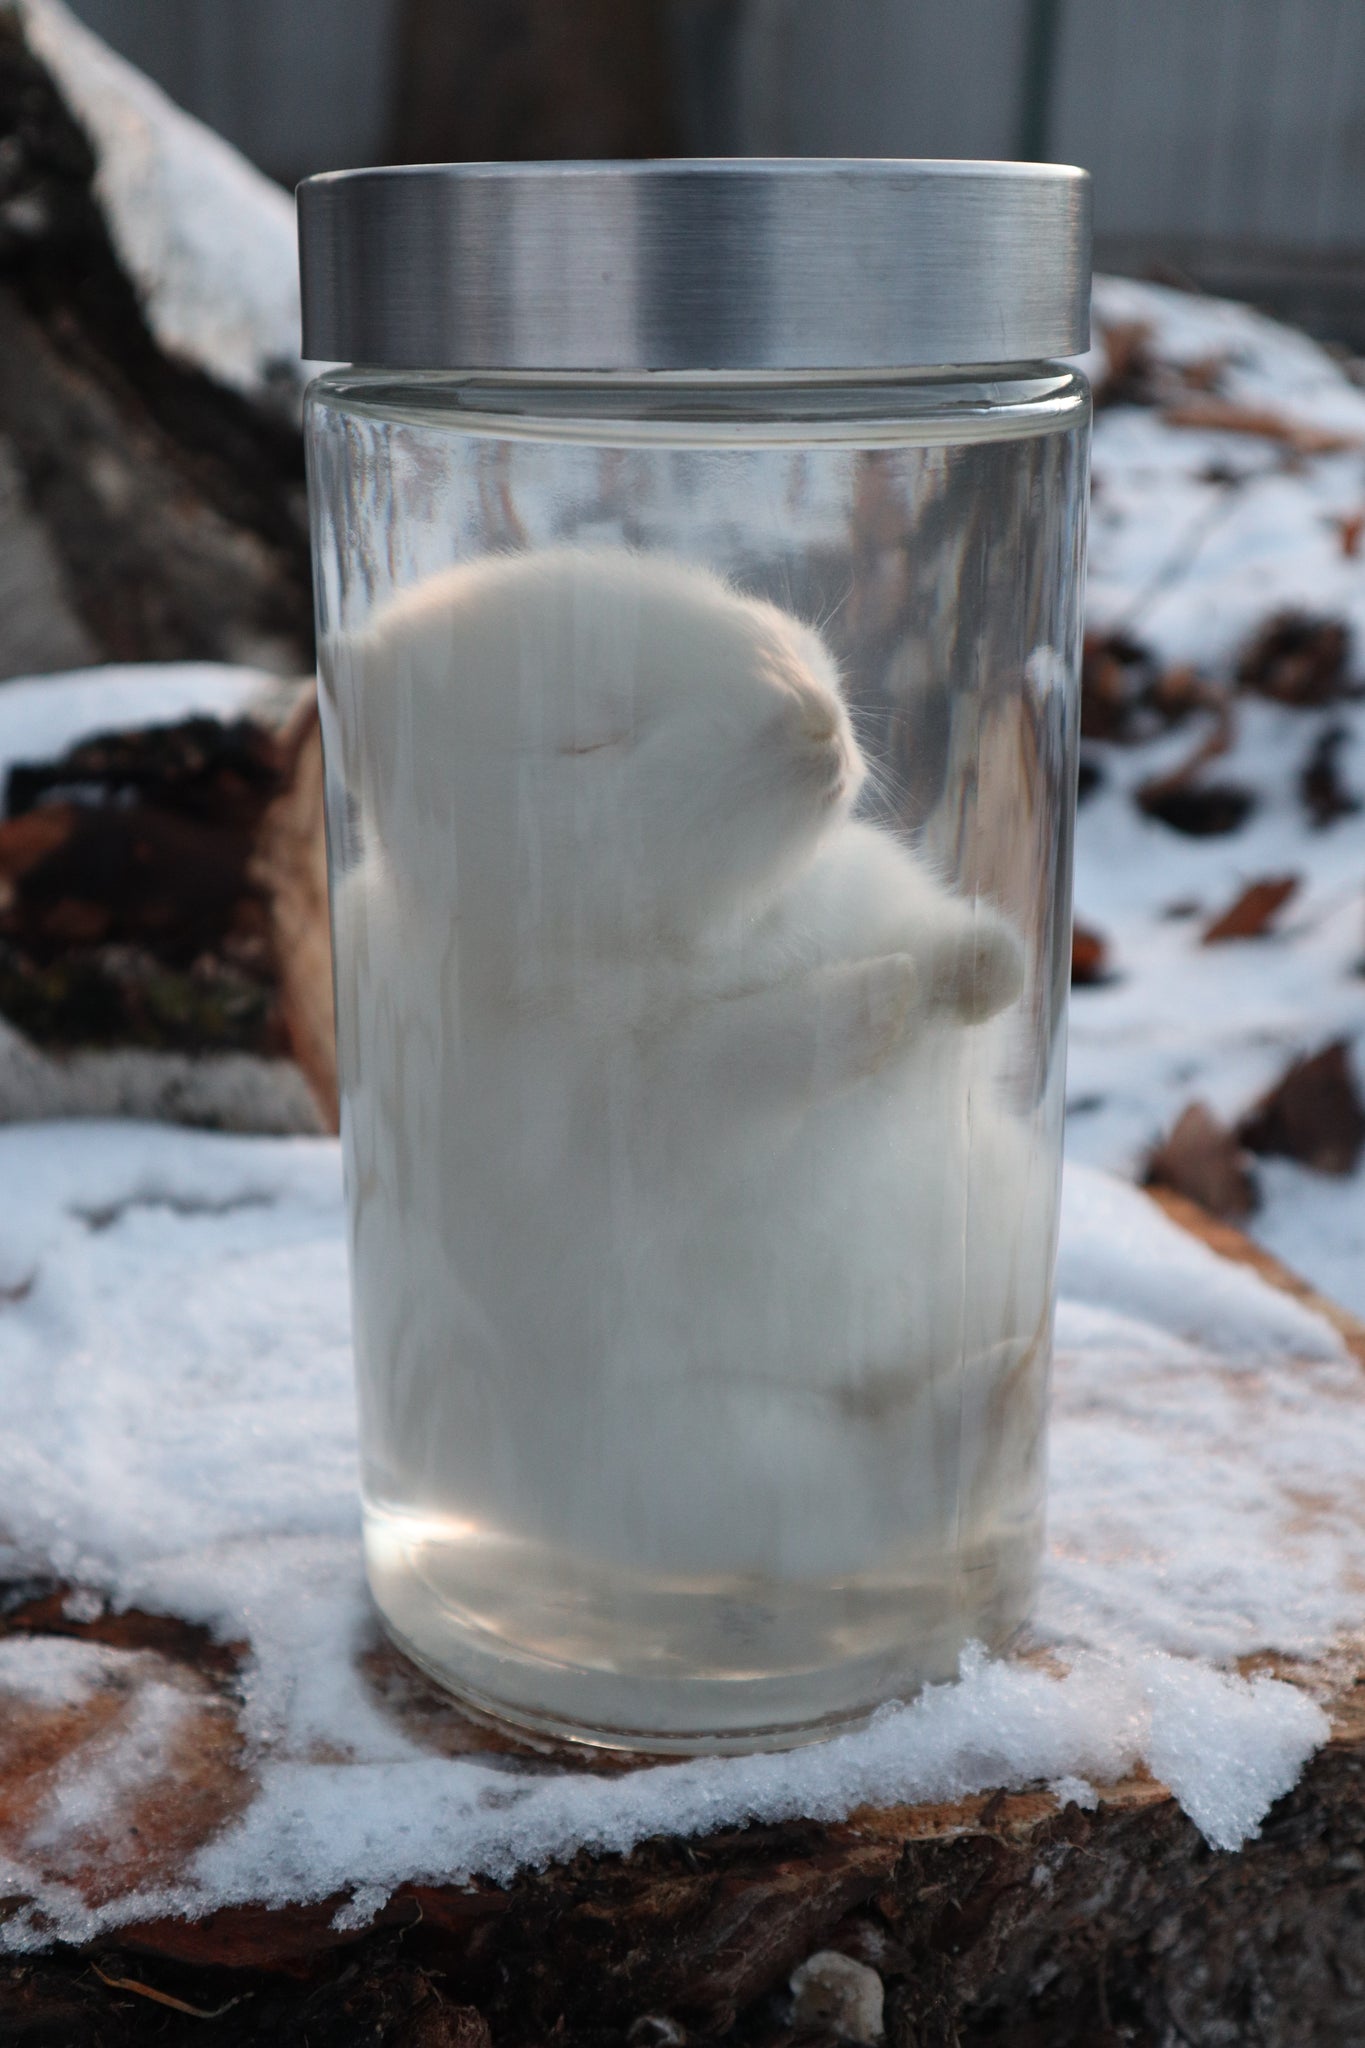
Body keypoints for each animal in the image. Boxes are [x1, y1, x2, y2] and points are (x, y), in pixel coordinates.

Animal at [324, 547, 1047, 1582]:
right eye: (590, 742)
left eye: (736, 604)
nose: (812, 719)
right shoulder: (622, 1118)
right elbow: (741, 1065)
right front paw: (873, 999)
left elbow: (963, 1008)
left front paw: (982, 962)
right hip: (714, 1462)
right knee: (875, 1494)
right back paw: (1004, 1393)